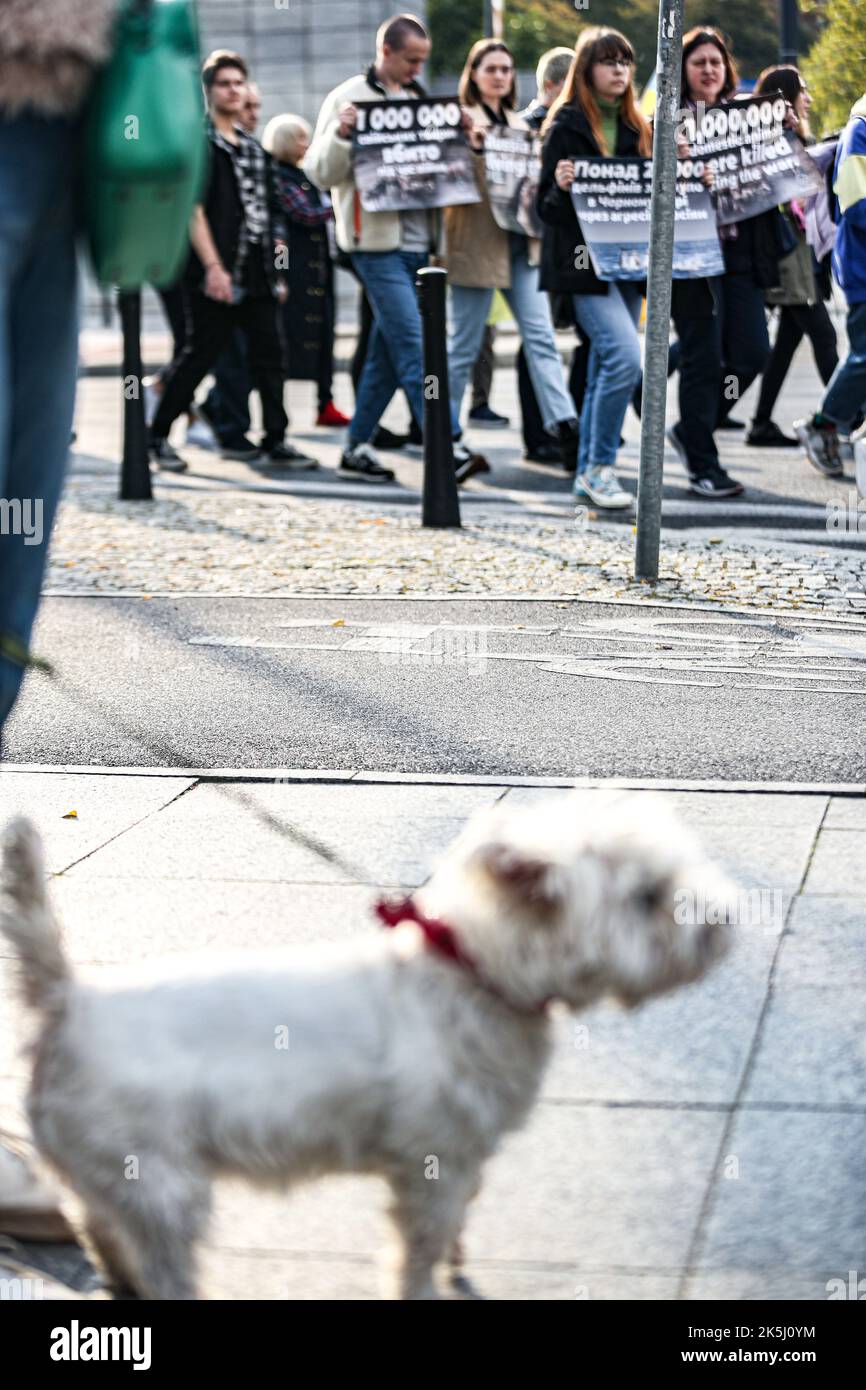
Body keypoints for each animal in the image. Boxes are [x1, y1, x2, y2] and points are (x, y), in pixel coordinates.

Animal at [0, 800, 733, 1295]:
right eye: (647, 896)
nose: (724, 917)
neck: (471, 973)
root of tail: (67, 1000)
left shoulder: (464, 1154)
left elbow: (455, 1223)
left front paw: (458, 1260)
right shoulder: (433, 1159)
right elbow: (418, 1247)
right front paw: (426, 1284)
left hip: (106, 1170)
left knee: (101, 1228)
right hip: (159, 1176)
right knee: (161, 1260)